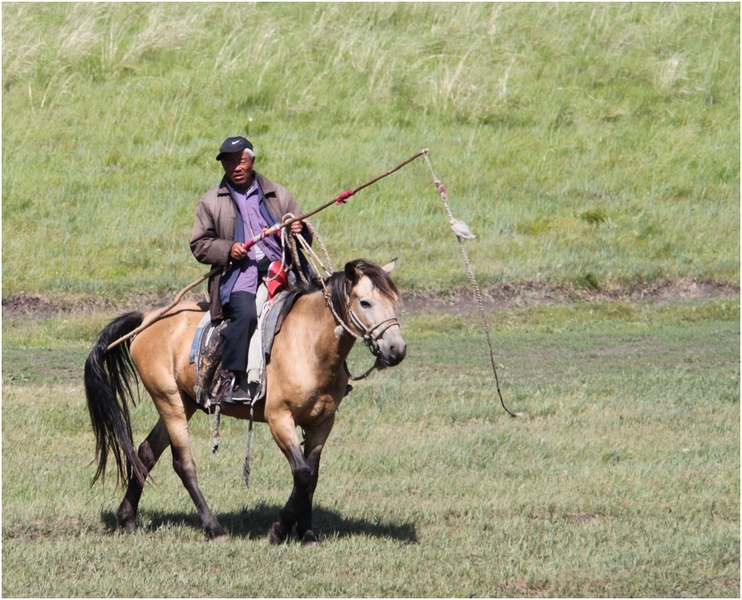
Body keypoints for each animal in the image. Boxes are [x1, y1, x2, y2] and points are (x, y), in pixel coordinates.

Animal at [85, 260, 410, 548]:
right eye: (365, 302)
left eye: (394, 301)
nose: (397, 350)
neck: (310, 344)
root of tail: (147, 319)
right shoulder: (280, 418)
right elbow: (302, 473)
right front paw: (279, 530)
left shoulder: (322, 422)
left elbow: (311, 476)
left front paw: (306, 534)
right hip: (169, 400)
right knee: (183, 464)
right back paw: (214, 528)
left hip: (185, 402)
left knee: (146, 451)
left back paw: (127, 519)